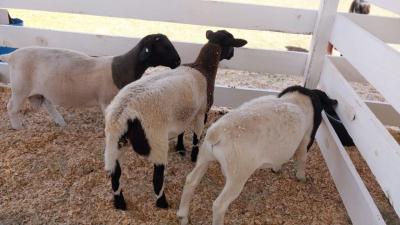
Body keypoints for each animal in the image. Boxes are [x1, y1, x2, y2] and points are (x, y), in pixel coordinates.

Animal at [0, 33, 180, 130]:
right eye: (164, 47)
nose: (178, 61)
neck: (121, 69)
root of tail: (11, 55)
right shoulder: (107, 101)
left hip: (40, 89)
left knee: (48, 104)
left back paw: (60, 121)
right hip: (20, 88)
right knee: (11, 107)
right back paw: (18, 126)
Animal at [177, 85, 338, 224]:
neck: (297, 99)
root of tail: (217, 134)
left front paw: (276, 168)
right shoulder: (305, 138)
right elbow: (302, 157)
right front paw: (301, 177)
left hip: (205, 156)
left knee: (191, 181)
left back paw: (182, 216)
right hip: (238, 174)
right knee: (219, 205)